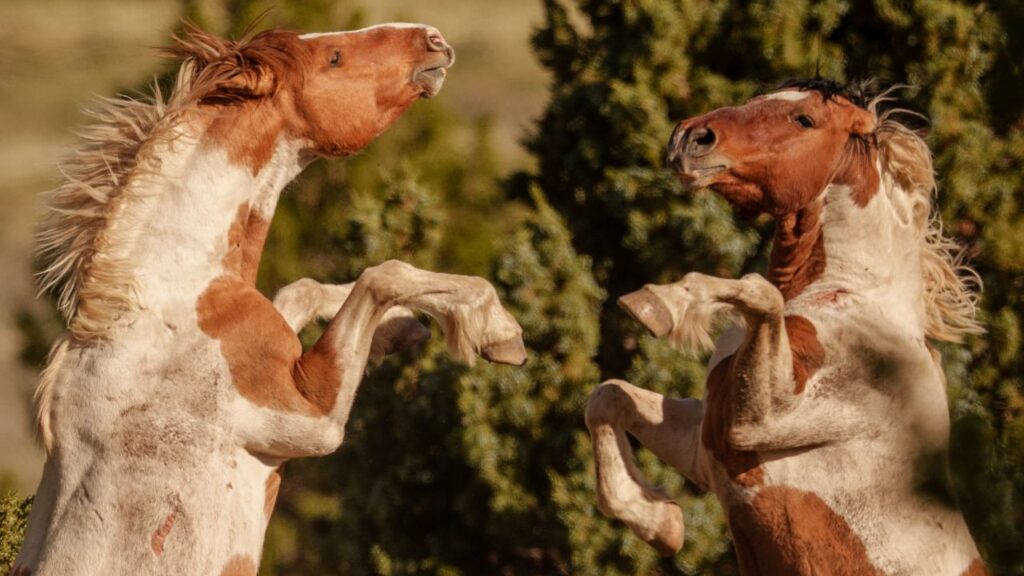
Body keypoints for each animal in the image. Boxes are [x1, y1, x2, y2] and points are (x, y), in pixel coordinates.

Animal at [13, 23, 525, 576]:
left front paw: (403, 329)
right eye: (334, 57)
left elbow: (302, 290)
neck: (171, 302)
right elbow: (382, 276)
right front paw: (498, 331)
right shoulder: (313, 418)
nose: (432, 39)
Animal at [584, 79, 988, 575]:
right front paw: (660, 522)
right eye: (757, 98)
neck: (848, 294)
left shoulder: (761, 420)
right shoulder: (707, 448)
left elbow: (760, 292)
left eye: (805, 120)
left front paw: (663, 302)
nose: (689, 138)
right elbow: (607, 397)